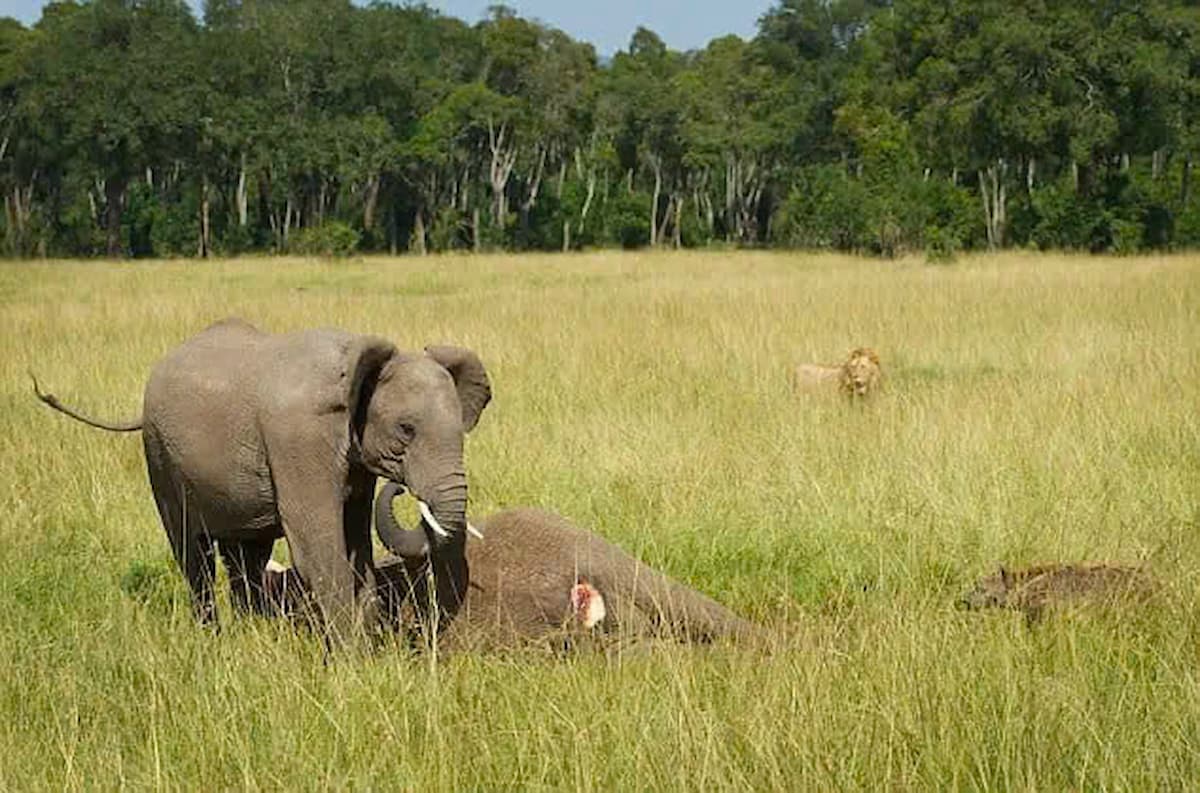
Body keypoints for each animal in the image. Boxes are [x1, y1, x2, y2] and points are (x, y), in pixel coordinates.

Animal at [35, 316, 489, 643]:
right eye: (406, 429)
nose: (404, 490)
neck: (356, 354)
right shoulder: (298, 440)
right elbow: (319, 548)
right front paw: (353, 663)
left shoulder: (354, 462)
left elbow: (356, 545)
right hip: (159, 453)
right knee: (193, 556)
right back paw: (214, 642)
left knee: (246, 558)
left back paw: (255, 634)